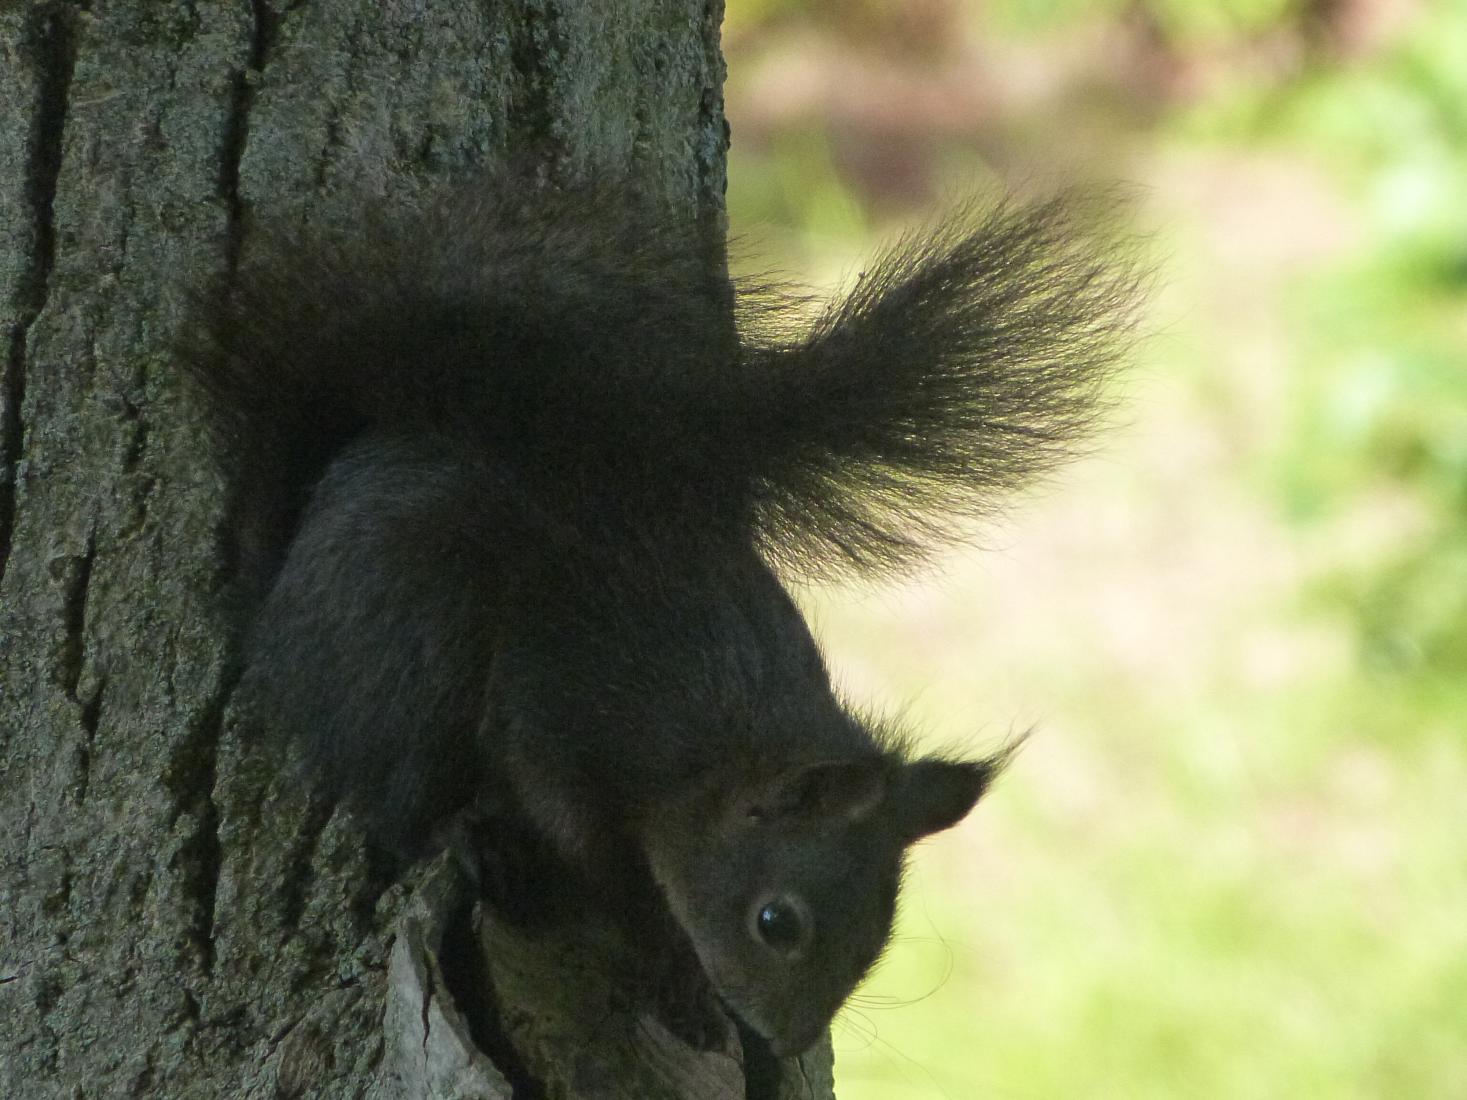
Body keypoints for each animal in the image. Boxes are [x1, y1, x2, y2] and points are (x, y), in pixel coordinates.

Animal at [183, 176, 1138, 1056]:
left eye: (878, 940)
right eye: (776, 923)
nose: (781, 1046)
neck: (721, 740)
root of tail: (278, 591)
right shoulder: (564, 720)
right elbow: (584, 840)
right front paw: (655, 941)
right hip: (408, 643)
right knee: (394, 795)